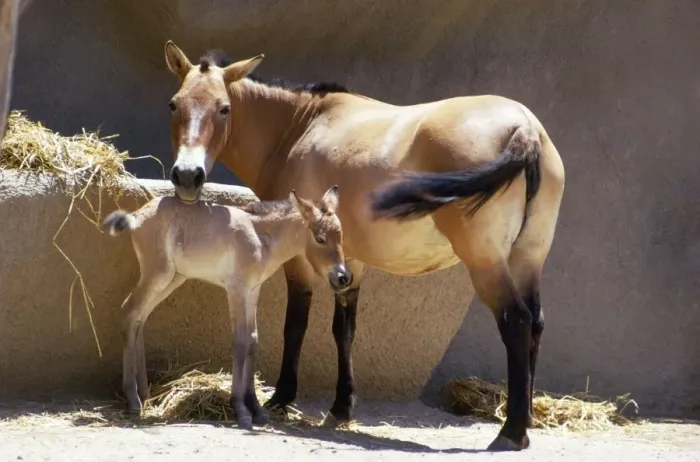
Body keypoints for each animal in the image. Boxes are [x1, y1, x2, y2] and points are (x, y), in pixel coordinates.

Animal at [102, 185, 350, 430]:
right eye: (320, 238)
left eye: (341, 236)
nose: (343, 278)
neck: (261, 237)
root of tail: (136, 216)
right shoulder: (236, 289)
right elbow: (240, 342)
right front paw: (240, 409)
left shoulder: (253, 290)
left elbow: (253, 341)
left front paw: (256, 407)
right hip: (158, 274)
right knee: (129, 311)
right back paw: (133, 401)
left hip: (172, 278)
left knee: (139, 318)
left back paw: (144, 395)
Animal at [161, 40, 565, 451]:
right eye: (174, 104)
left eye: (223, 108)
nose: (188, 176)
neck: (300, 125)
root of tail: (524, 129)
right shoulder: (349, 261)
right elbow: (345, 330)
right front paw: (341, 408)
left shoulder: (301, 258)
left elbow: (296, 323)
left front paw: (282, 398)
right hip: (526, 259)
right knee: (536, 323)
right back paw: (526, 421)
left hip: (487, 263)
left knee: (516, 322)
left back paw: (511, 432)